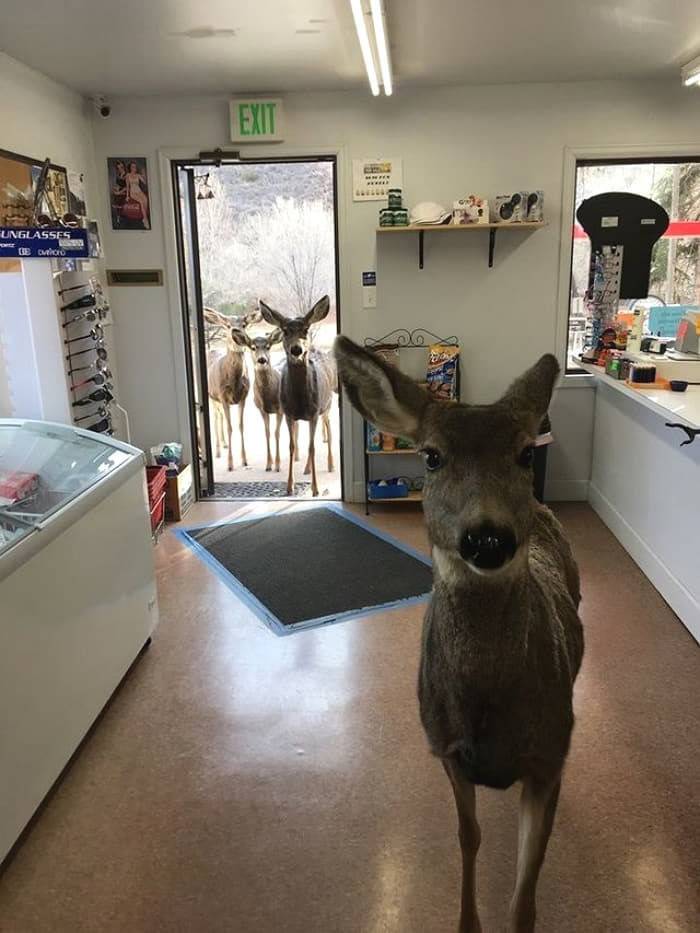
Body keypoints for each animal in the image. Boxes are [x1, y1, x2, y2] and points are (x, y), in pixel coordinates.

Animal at [202, 310, 258, 474]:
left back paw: (224, 444)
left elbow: (240, 426)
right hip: (212, 397)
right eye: (228, 325)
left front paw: (244, 460)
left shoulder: (244, 397)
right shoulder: (223, 396)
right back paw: (218, 451)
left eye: (244, 324)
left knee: (219, 416)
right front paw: (230, 463)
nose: (236, 332)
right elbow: (229, 427)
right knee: (215, 418)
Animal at [231, 328, 284, 474]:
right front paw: (269, 465)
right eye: (253, 347)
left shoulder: (280, 409)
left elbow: (277, 433)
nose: (262, 360)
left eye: (268, 346)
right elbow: (267, 433)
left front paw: (278, 465)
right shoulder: (262, 409)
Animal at [260, 300, 336, 498]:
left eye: (306, 329)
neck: (301, 399)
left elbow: (312, 447)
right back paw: (307, 469)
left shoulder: (314, 412)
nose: (297, 349)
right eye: (285, 331)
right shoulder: (288, 413)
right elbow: (292, 446)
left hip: (327, 405)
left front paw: (316, 489)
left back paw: (331, 464)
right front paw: (289, 486)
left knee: (328, 430)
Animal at [334, 336, 584, 932]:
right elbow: (467, 837)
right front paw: (467, 921)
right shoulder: (444, 746)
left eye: (524, 453)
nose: (487, 538)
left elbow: (527, 883)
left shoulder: (549, 755)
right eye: (431, 455)